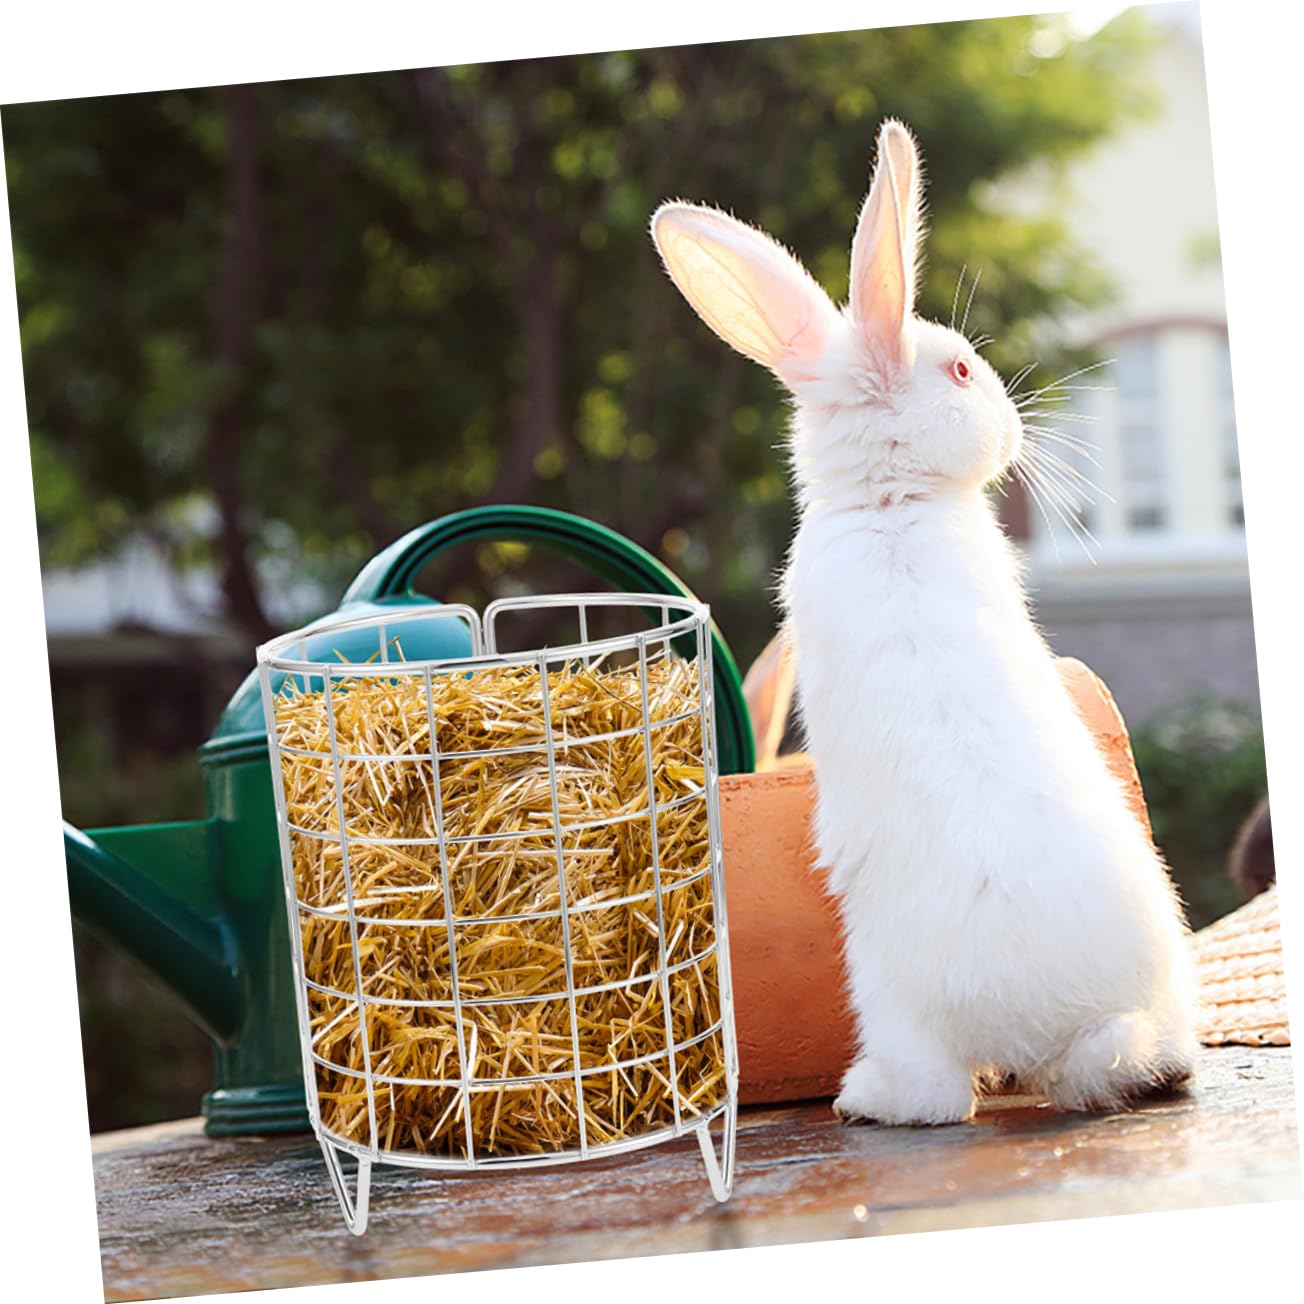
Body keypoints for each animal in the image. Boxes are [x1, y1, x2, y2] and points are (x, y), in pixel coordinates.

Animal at [650, 119, 1197, 1124]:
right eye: (961, 370)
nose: (1012, 423)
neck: (890, 501)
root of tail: (1049, 1030)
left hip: (893, 998)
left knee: (943, 1096)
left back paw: (864, 1099)